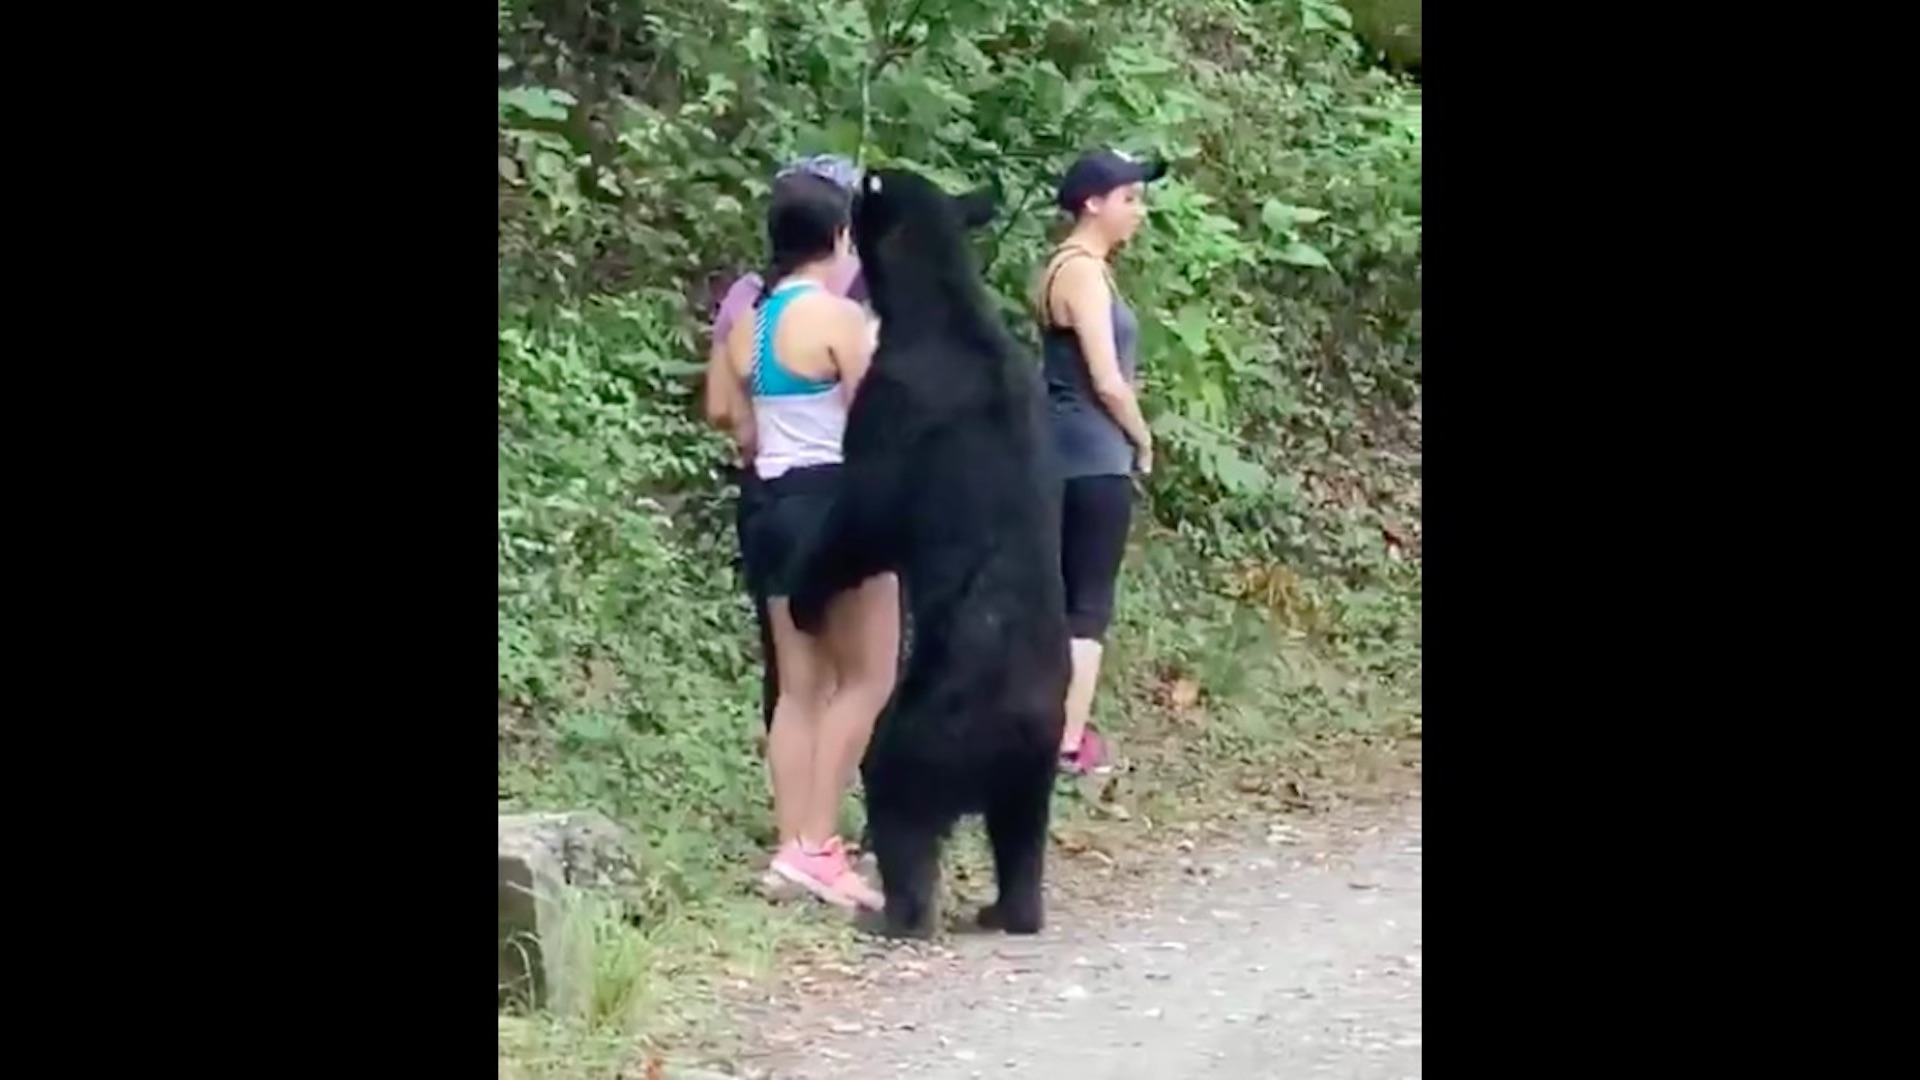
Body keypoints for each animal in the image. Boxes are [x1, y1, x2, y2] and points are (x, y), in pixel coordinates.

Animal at [789, 167, 1072, 939]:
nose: (852, 179)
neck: (937, 308)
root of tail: (1016, 726)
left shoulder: (895, 401)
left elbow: (864, 518)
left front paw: (804, 593)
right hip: (1035, 769)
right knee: (1021, 835)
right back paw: (1012, 908)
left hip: (927, 726)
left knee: (898, 796)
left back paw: (896, 915)